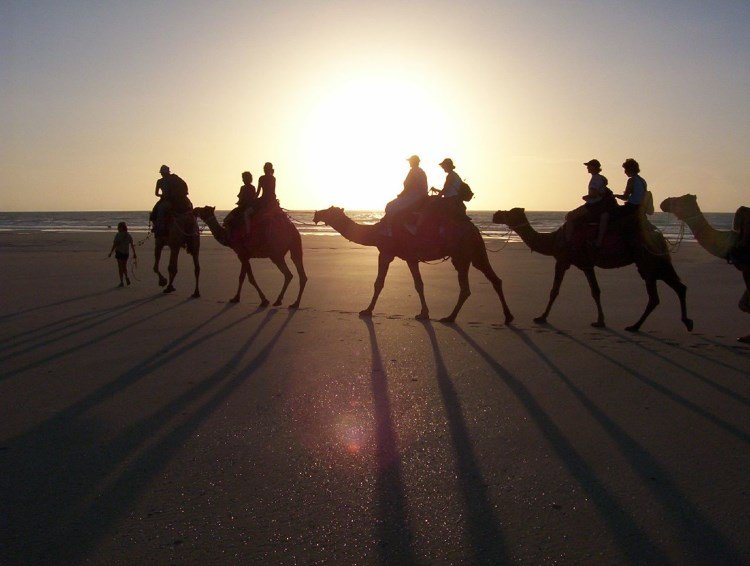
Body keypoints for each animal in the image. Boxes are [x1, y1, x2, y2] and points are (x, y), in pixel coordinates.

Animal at [308, 207, 516, 324]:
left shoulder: (387, 253)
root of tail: (475, 230)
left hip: (462, 255)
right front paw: (423, 313)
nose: (316, 215)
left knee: (466, 287)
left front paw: (367, 310)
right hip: (475, 253)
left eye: (329, 210)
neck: (376, 232)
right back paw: (508, 317)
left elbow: (379, 283)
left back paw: (450, 317)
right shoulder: (410, 257)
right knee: (494, 279)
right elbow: (419, 284)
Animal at [494, 209, 692, 332]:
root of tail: (658, 235)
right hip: (656, 262)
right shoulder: (586, 265)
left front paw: (541, 317)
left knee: (657, 295)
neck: (554, 239)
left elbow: (554, 290)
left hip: (647, 261)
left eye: (508, 213)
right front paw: (600, 321)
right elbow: (595, 291)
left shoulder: (563, 260)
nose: (495, 214)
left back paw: (635, 326)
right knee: (677, 287)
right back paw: (686, 322)